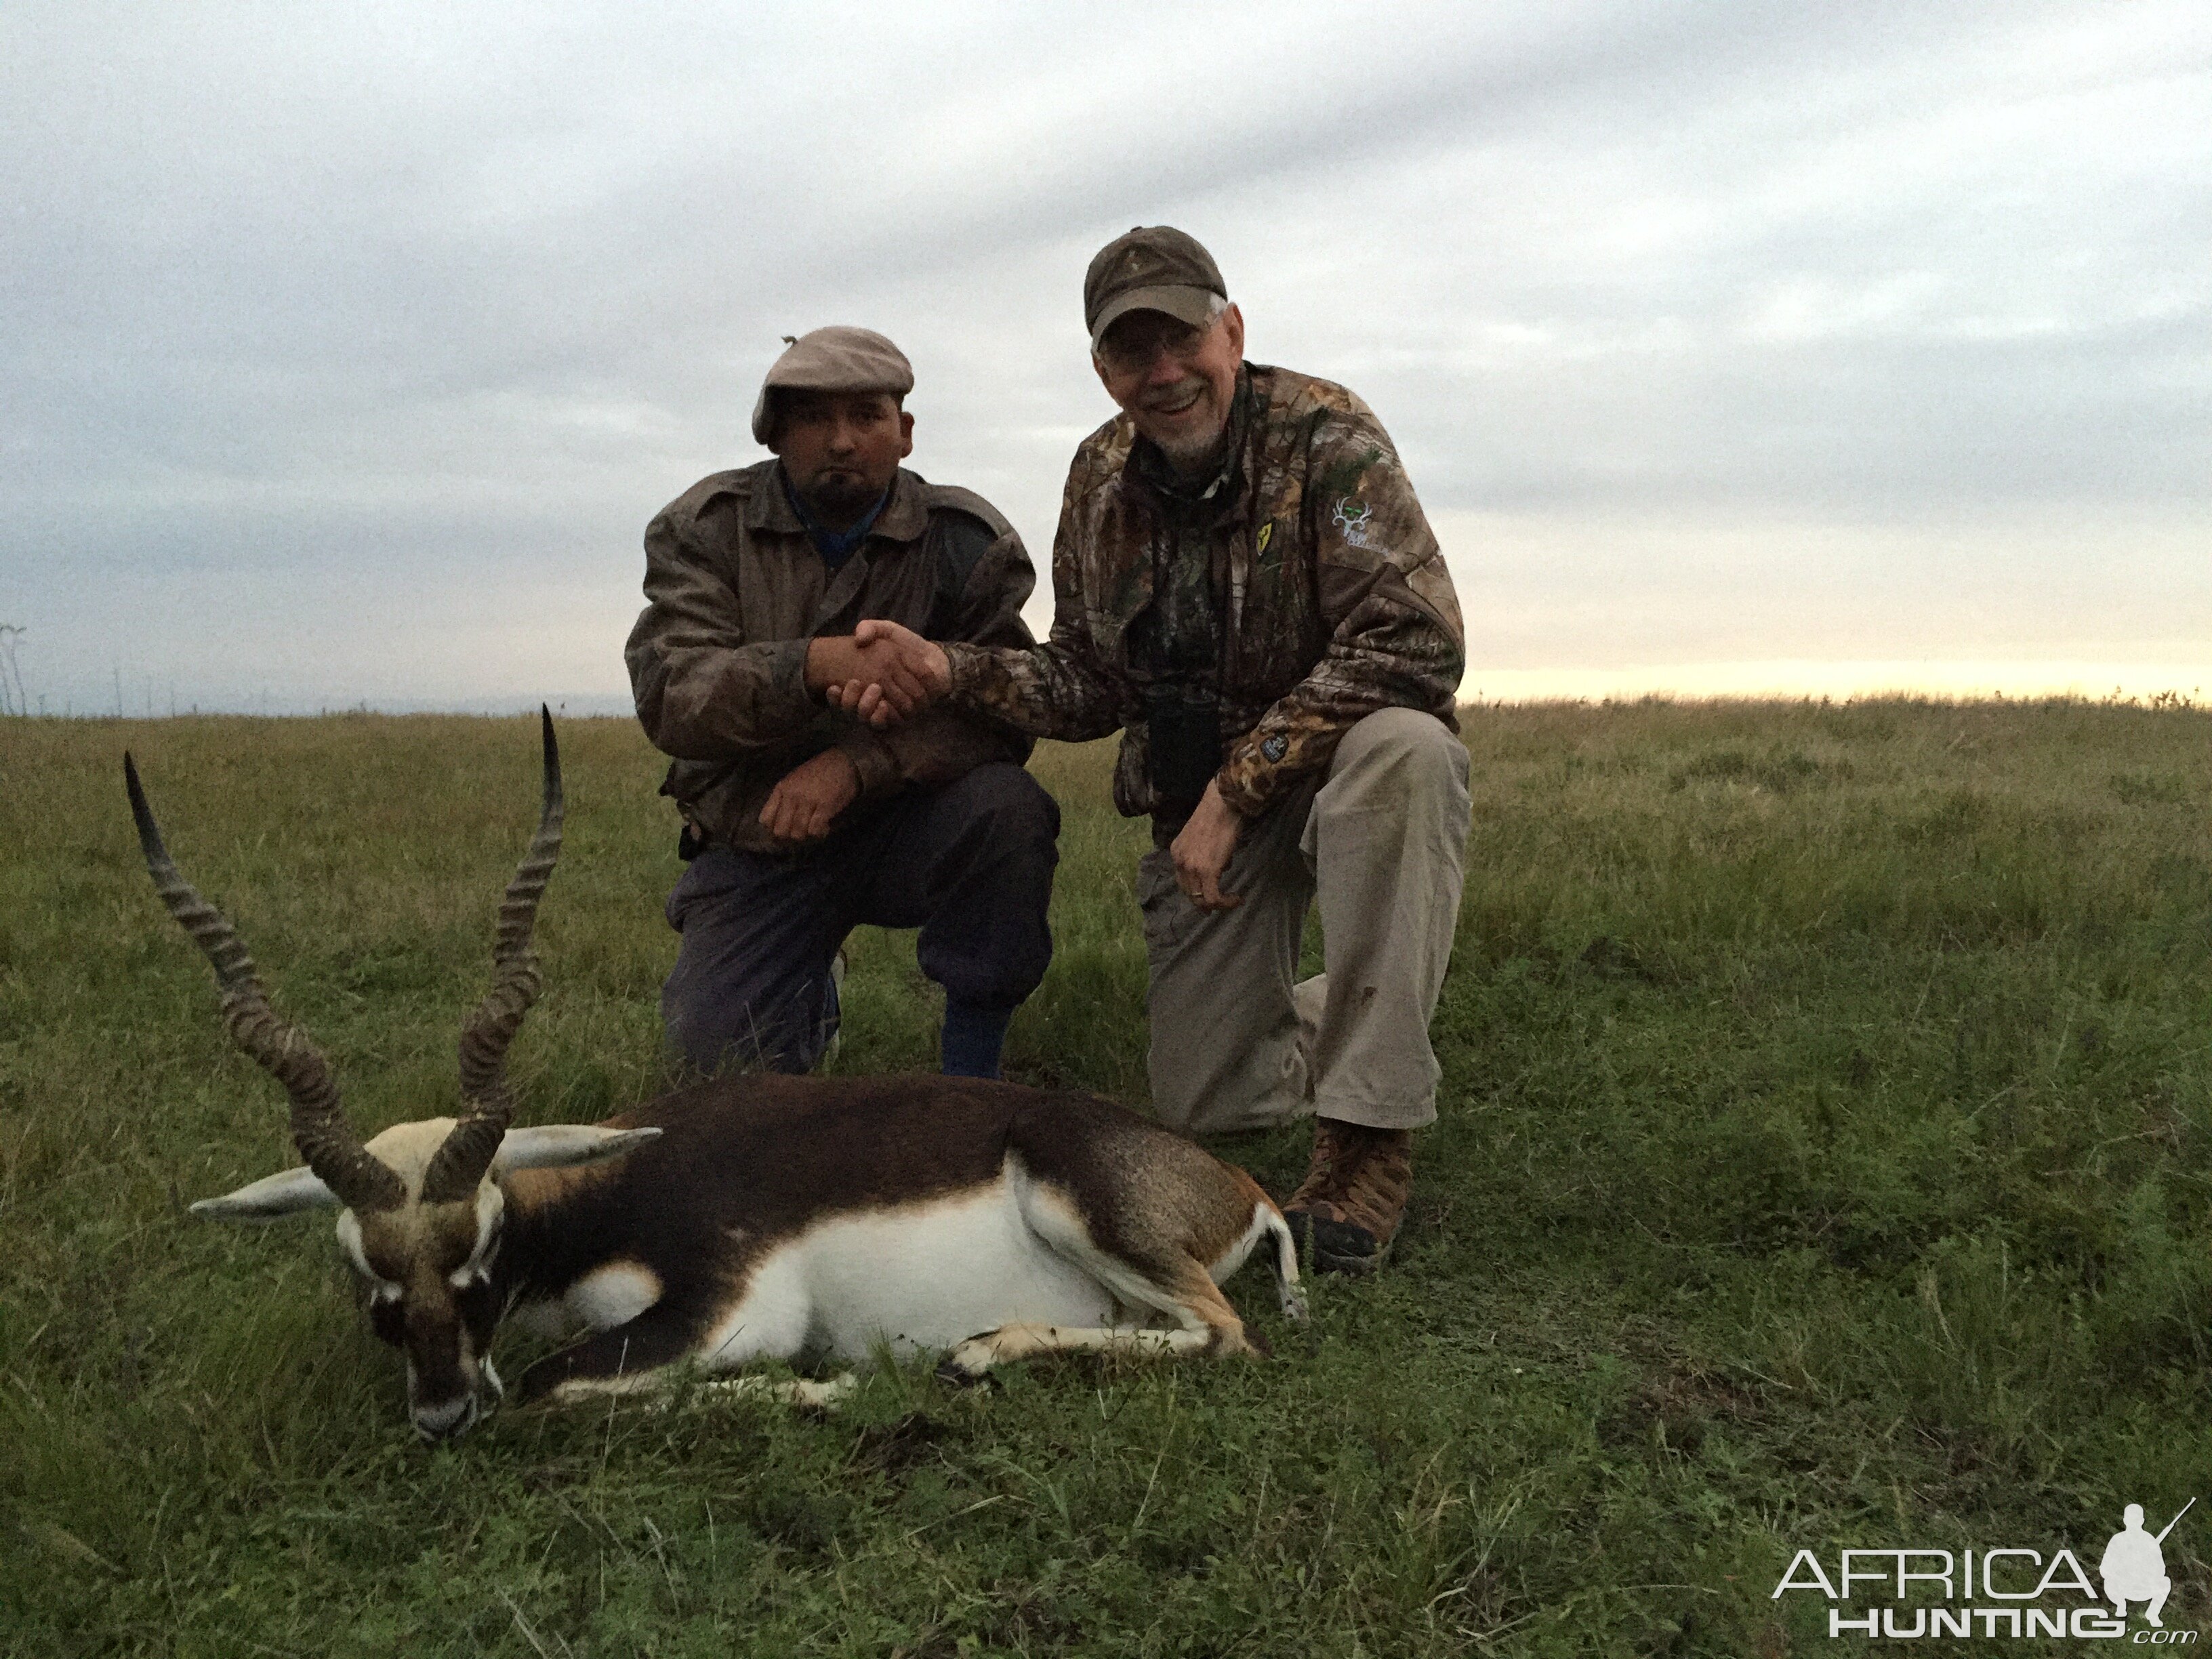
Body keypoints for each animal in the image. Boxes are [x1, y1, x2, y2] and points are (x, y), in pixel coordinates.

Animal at [129, 716, 1300, 1442]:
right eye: (361, 1267)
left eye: (482, 1243)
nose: (443, 1413)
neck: (600, 1201)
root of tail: (1242, 1191)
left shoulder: (731, 1306)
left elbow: (556, 1390)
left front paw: (830, 1387)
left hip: (1080, 1208)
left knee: (1229, 1338)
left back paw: (971, 1358)